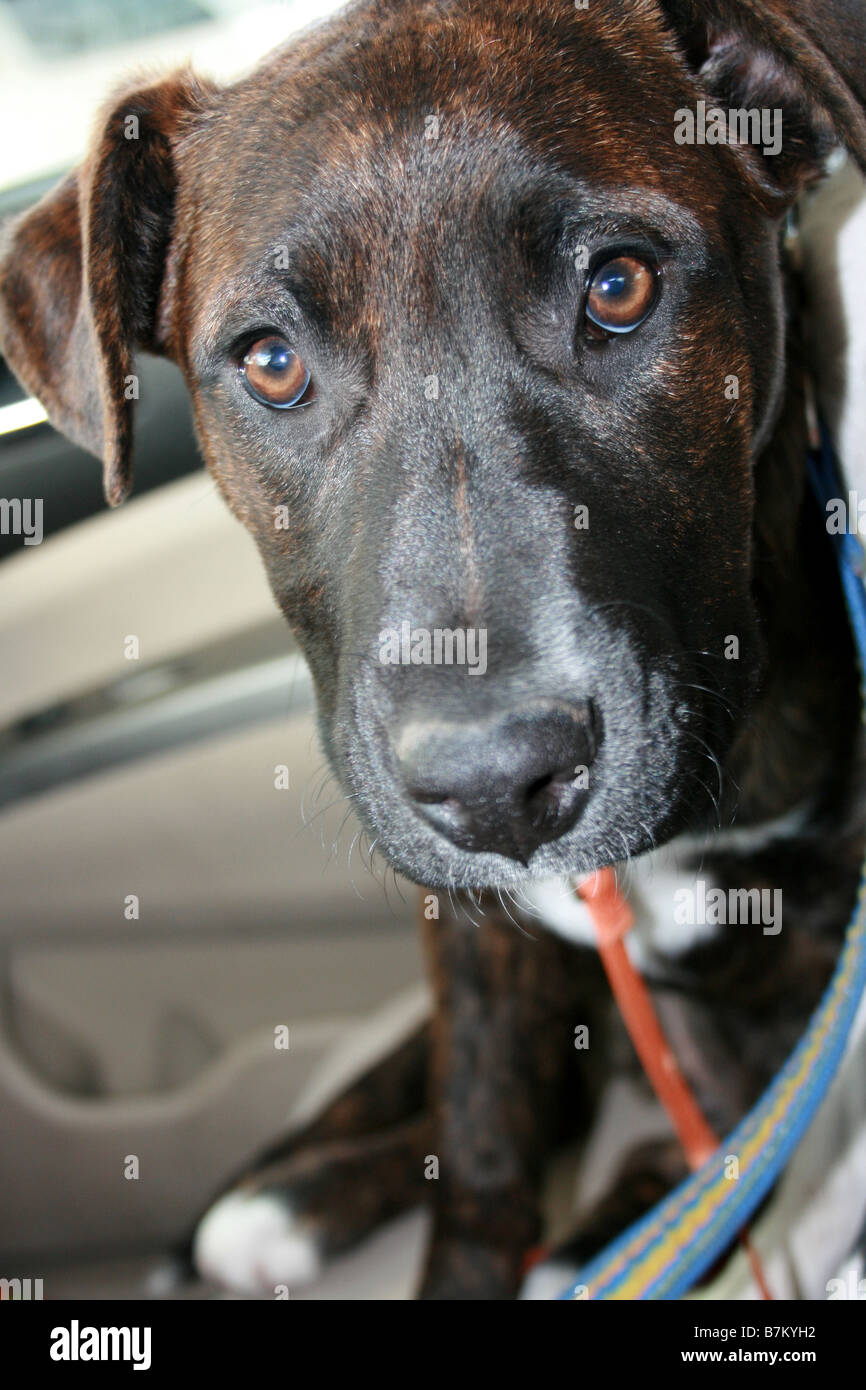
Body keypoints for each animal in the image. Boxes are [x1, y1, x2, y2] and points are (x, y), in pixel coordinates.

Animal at [1, 2, 866, 1301]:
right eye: (269, 360)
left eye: (619, 284)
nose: (497, 784)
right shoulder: (475, 939)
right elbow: (480, 1156)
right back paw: (288, 1201)